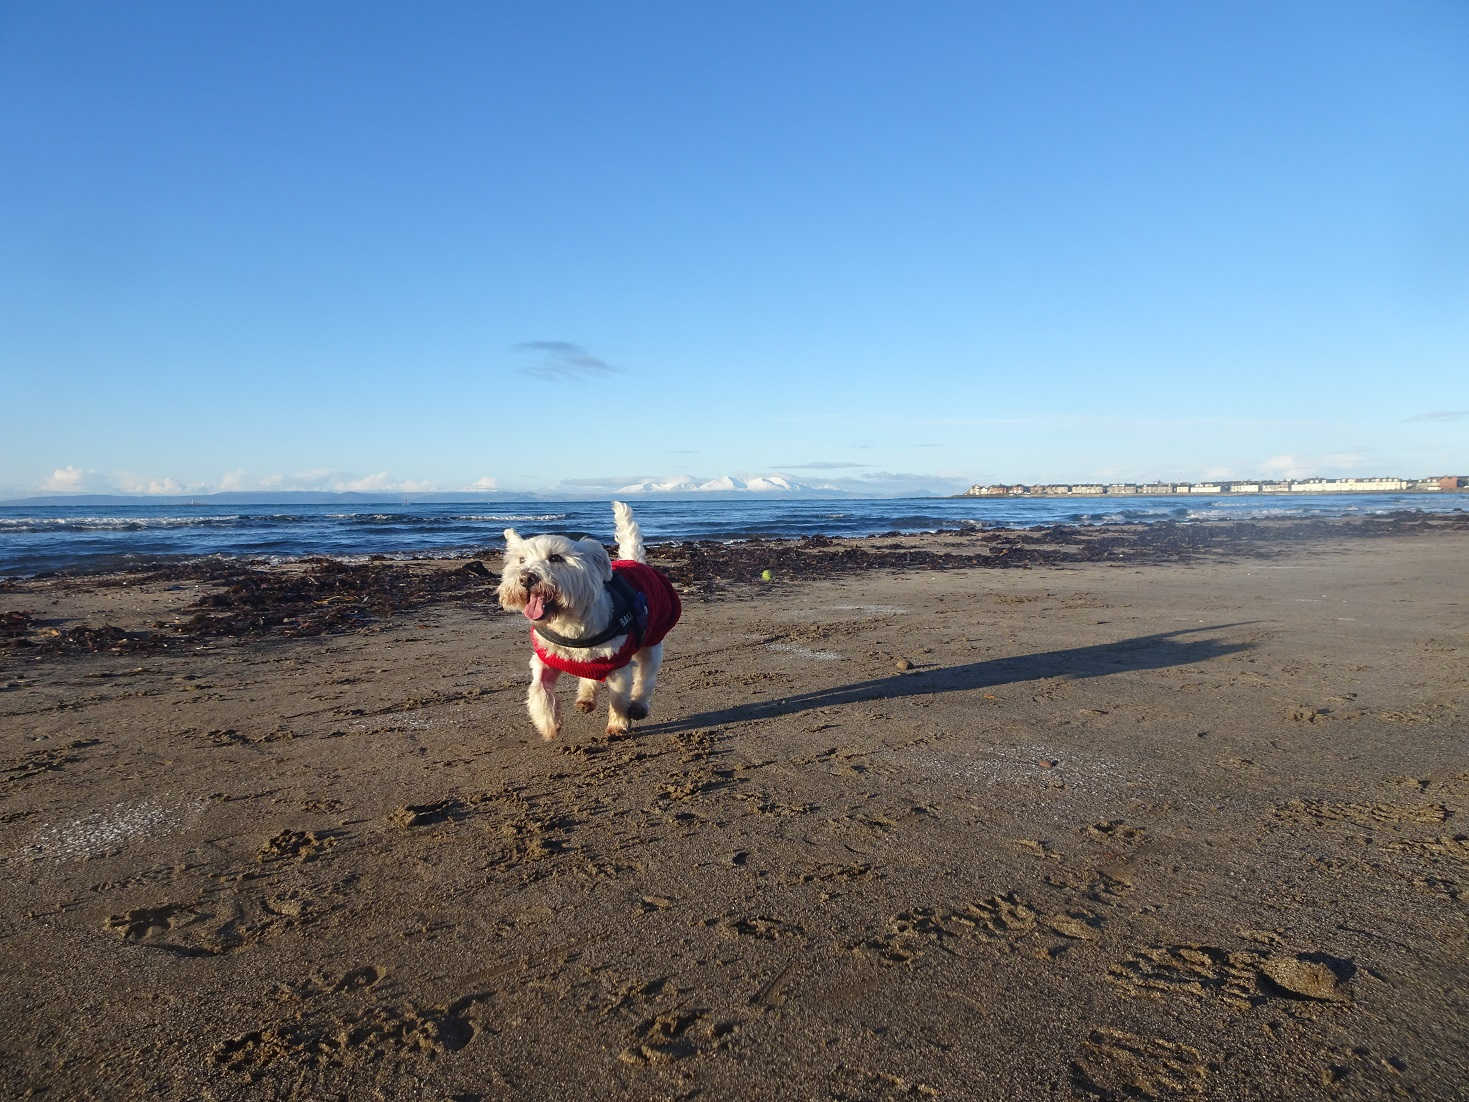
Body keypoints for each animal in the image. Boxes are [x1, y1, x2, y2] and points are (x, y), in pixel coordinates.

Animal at [493, 502, 675, 743]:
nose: (525, 578)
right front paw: (549, 726)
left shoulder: (618, 661)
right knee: (590, 676)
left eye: (556, 558)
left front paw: (617, 725)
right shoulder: (546, 660)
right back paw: (586, 699)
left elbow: (619, 697)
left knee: (647, 674)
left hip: (652, 639)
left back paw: (638, 706)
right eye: (521, 559)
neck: (568, 624)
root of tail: (634, 561)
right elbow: (540, 691)